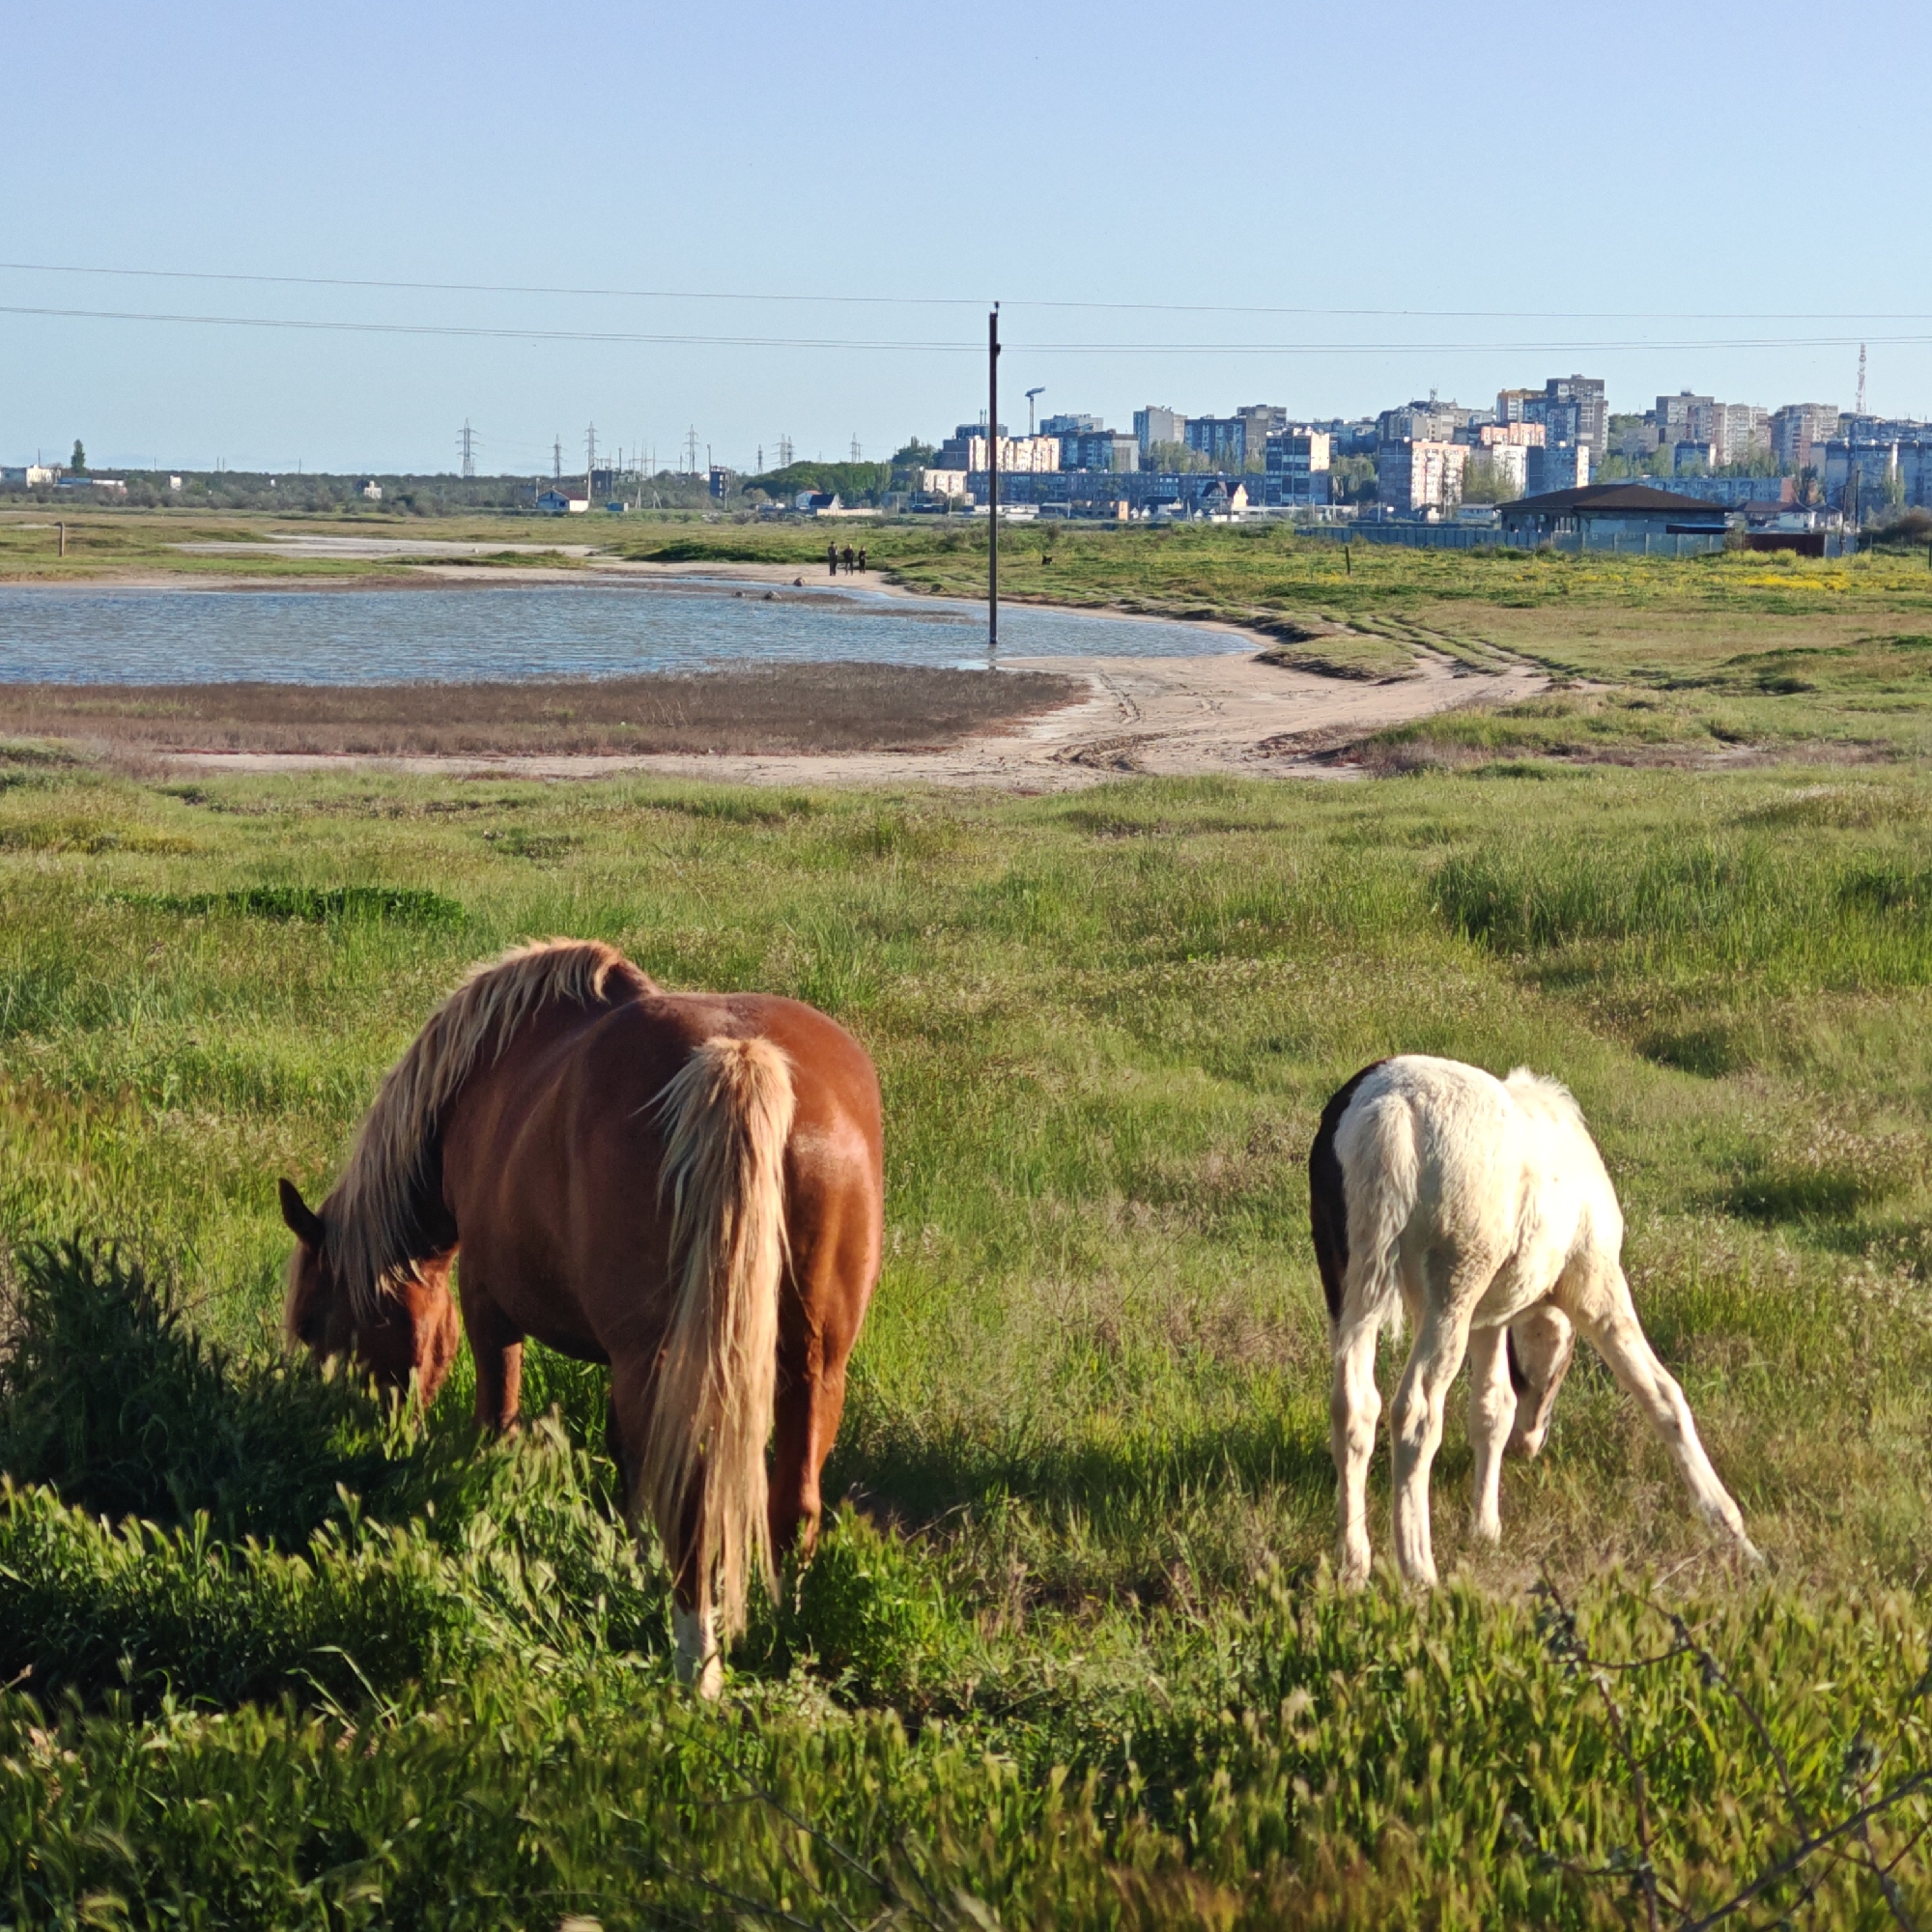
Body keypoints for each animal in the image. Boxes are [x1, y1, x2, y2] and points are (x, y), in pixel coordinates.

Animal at [279, 938, 884, 1694]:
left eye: (312, 1327)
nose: (358, 1443)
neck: (481, 1076)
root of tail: (741, 1058)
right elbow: (627, 1469)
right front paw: (628, 1561)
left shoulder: (490, 1304)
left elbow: (499, 1425)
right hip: (812, 1366)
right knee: (793, 1501)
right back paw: (779, 1625)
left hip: (668, 1361)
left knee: (692, 1509)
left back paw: (696, 1668)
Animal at [1307, 1054, 1757, 1587]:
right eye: (1558, 1371)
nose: (1531, 1442)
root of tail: (1391, 1111)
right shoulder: (1595, 1283)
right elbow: (1661, 1393)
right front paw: (1731, 1528)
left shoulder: (1488, 1318)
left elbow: (1491, 1408)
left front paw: (1486, 1528)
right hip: (1451, 1291)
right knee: (1416, 1412)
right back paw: (1419, 1570)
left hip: (1350, 1291)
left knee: (1354, 1405)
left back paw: (1353, 1565)